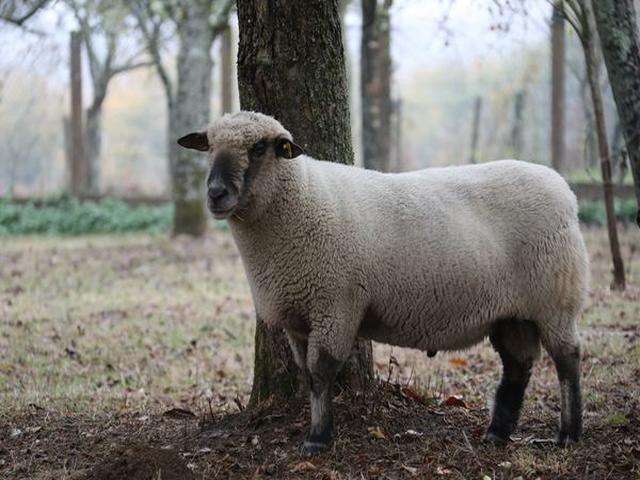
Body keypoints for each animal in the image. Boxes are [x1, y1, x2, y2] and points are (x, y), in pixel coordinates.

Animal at [177, 111, 589, 454]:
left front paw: (318, 439)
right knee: (518, 366)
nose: (216, 193)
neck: (299, 201)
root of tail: (564, 190)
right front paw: (317, 430)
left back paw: (568, 435)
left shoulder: (335, 305)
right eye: (209, 146)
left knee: (567, 359)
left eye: (259, 148)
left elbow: (321, 371)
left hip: (556, 297)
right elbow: (307, 374)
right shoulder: (298, 315)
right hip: (512, 312)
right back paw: (497, 434)